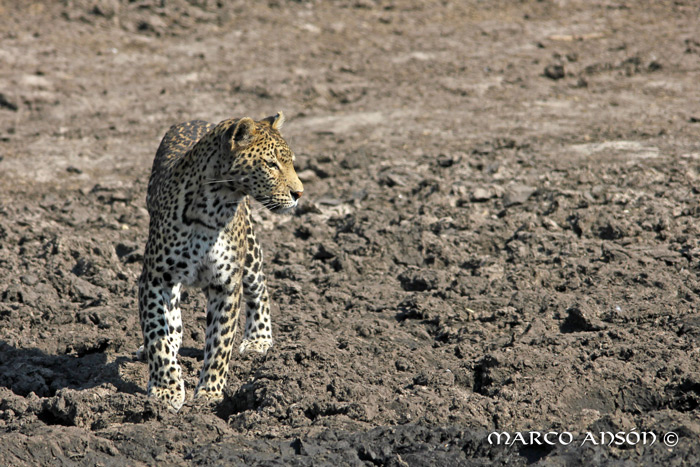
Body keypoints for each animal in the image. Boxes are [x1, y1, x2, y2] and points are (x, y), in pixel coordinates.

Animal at [136, 112, 300, 410]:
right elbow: (157, 335)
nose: (299, 194)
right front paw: (166, 390)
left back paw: (258, 340)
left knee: (260, 288)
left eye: (290, 163)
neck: (213, 208)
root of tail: (197, 119)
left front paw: (209, 394)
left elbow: (220, 342)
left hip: (250, 252)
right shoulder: (154, 278)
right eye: (271, 164)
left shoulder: (226, 284)